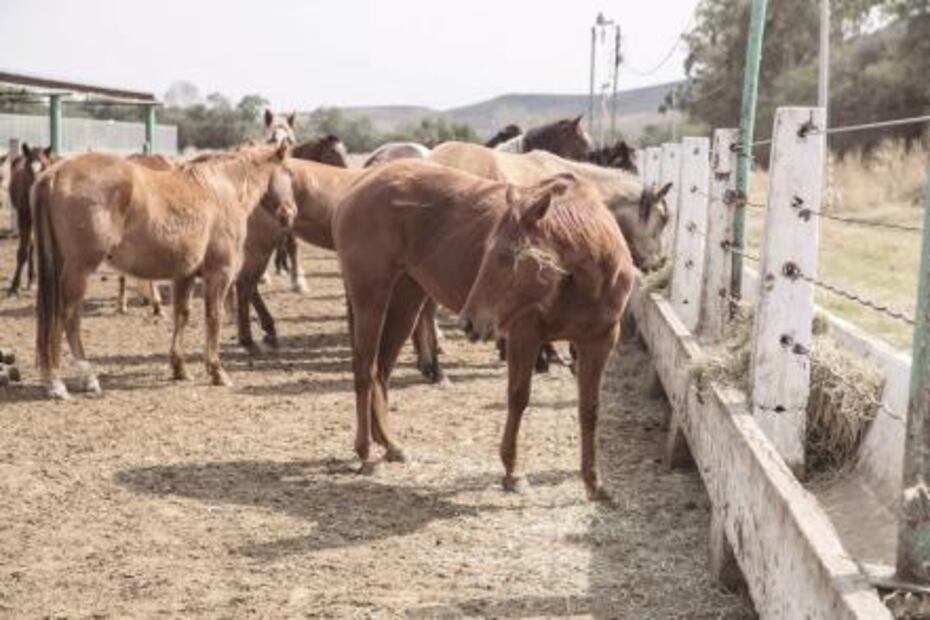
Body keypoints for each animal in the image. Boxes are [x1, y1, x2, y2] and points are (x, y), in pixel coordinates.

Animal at [7, 143, 56, 296]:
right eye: (28, 167)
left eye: (44, 166)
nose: (36, 190)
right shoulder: (24, 216)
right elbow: (22, 251)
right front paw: (14, 286)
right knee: (30, 244)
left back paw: (32, 279)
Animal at [32, 143, 297, 400]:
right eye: (287, 171)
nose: (290, 212)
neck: (220, 190)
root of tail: (55, 173)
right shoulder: (219, 273)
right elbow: (214, 316)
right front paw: (216, 371)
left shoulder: (184, 275)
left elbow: (182, 315)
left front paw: (179, 368)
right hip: (79, 270)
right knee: (66, 317)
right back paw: (65, 381)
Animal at [333, 159, 634, 500]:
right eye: (487, 251)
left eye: (506, 256)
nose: (469, 321)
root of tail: (362, 183)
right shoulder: (524, 336)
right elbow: (518, 398)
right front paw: (513, 473)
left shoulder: (599, 342)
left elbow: (590, 409)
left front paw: (595, 483)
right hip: (370, 299)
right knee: (364, 370)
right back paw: (365, 452)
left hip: (405, 301)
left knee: (380, 371)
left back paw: (390, 445)